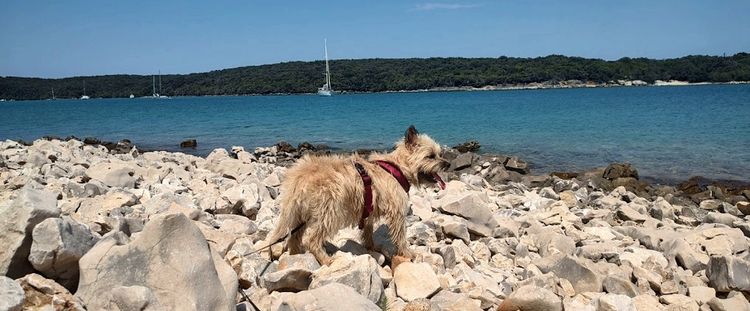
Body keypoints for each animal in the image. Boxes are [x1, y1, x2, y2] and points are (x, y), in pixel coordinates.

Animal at [268, 127, 450, 266]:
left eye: (439, 153)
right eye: (430, 156)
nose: (447, 164)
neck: (397, 168)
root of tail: (300, 175)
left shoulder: (368, 210)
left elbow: (368, 232)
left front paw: (371, 247)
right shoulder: (397, 212)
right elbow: (400, 236)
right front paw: (407, 253)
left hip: (301, 214)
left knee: (294, 237)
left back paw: (296, 256)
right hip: (331, 212)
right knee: (312, 239)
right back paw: (326, 260)